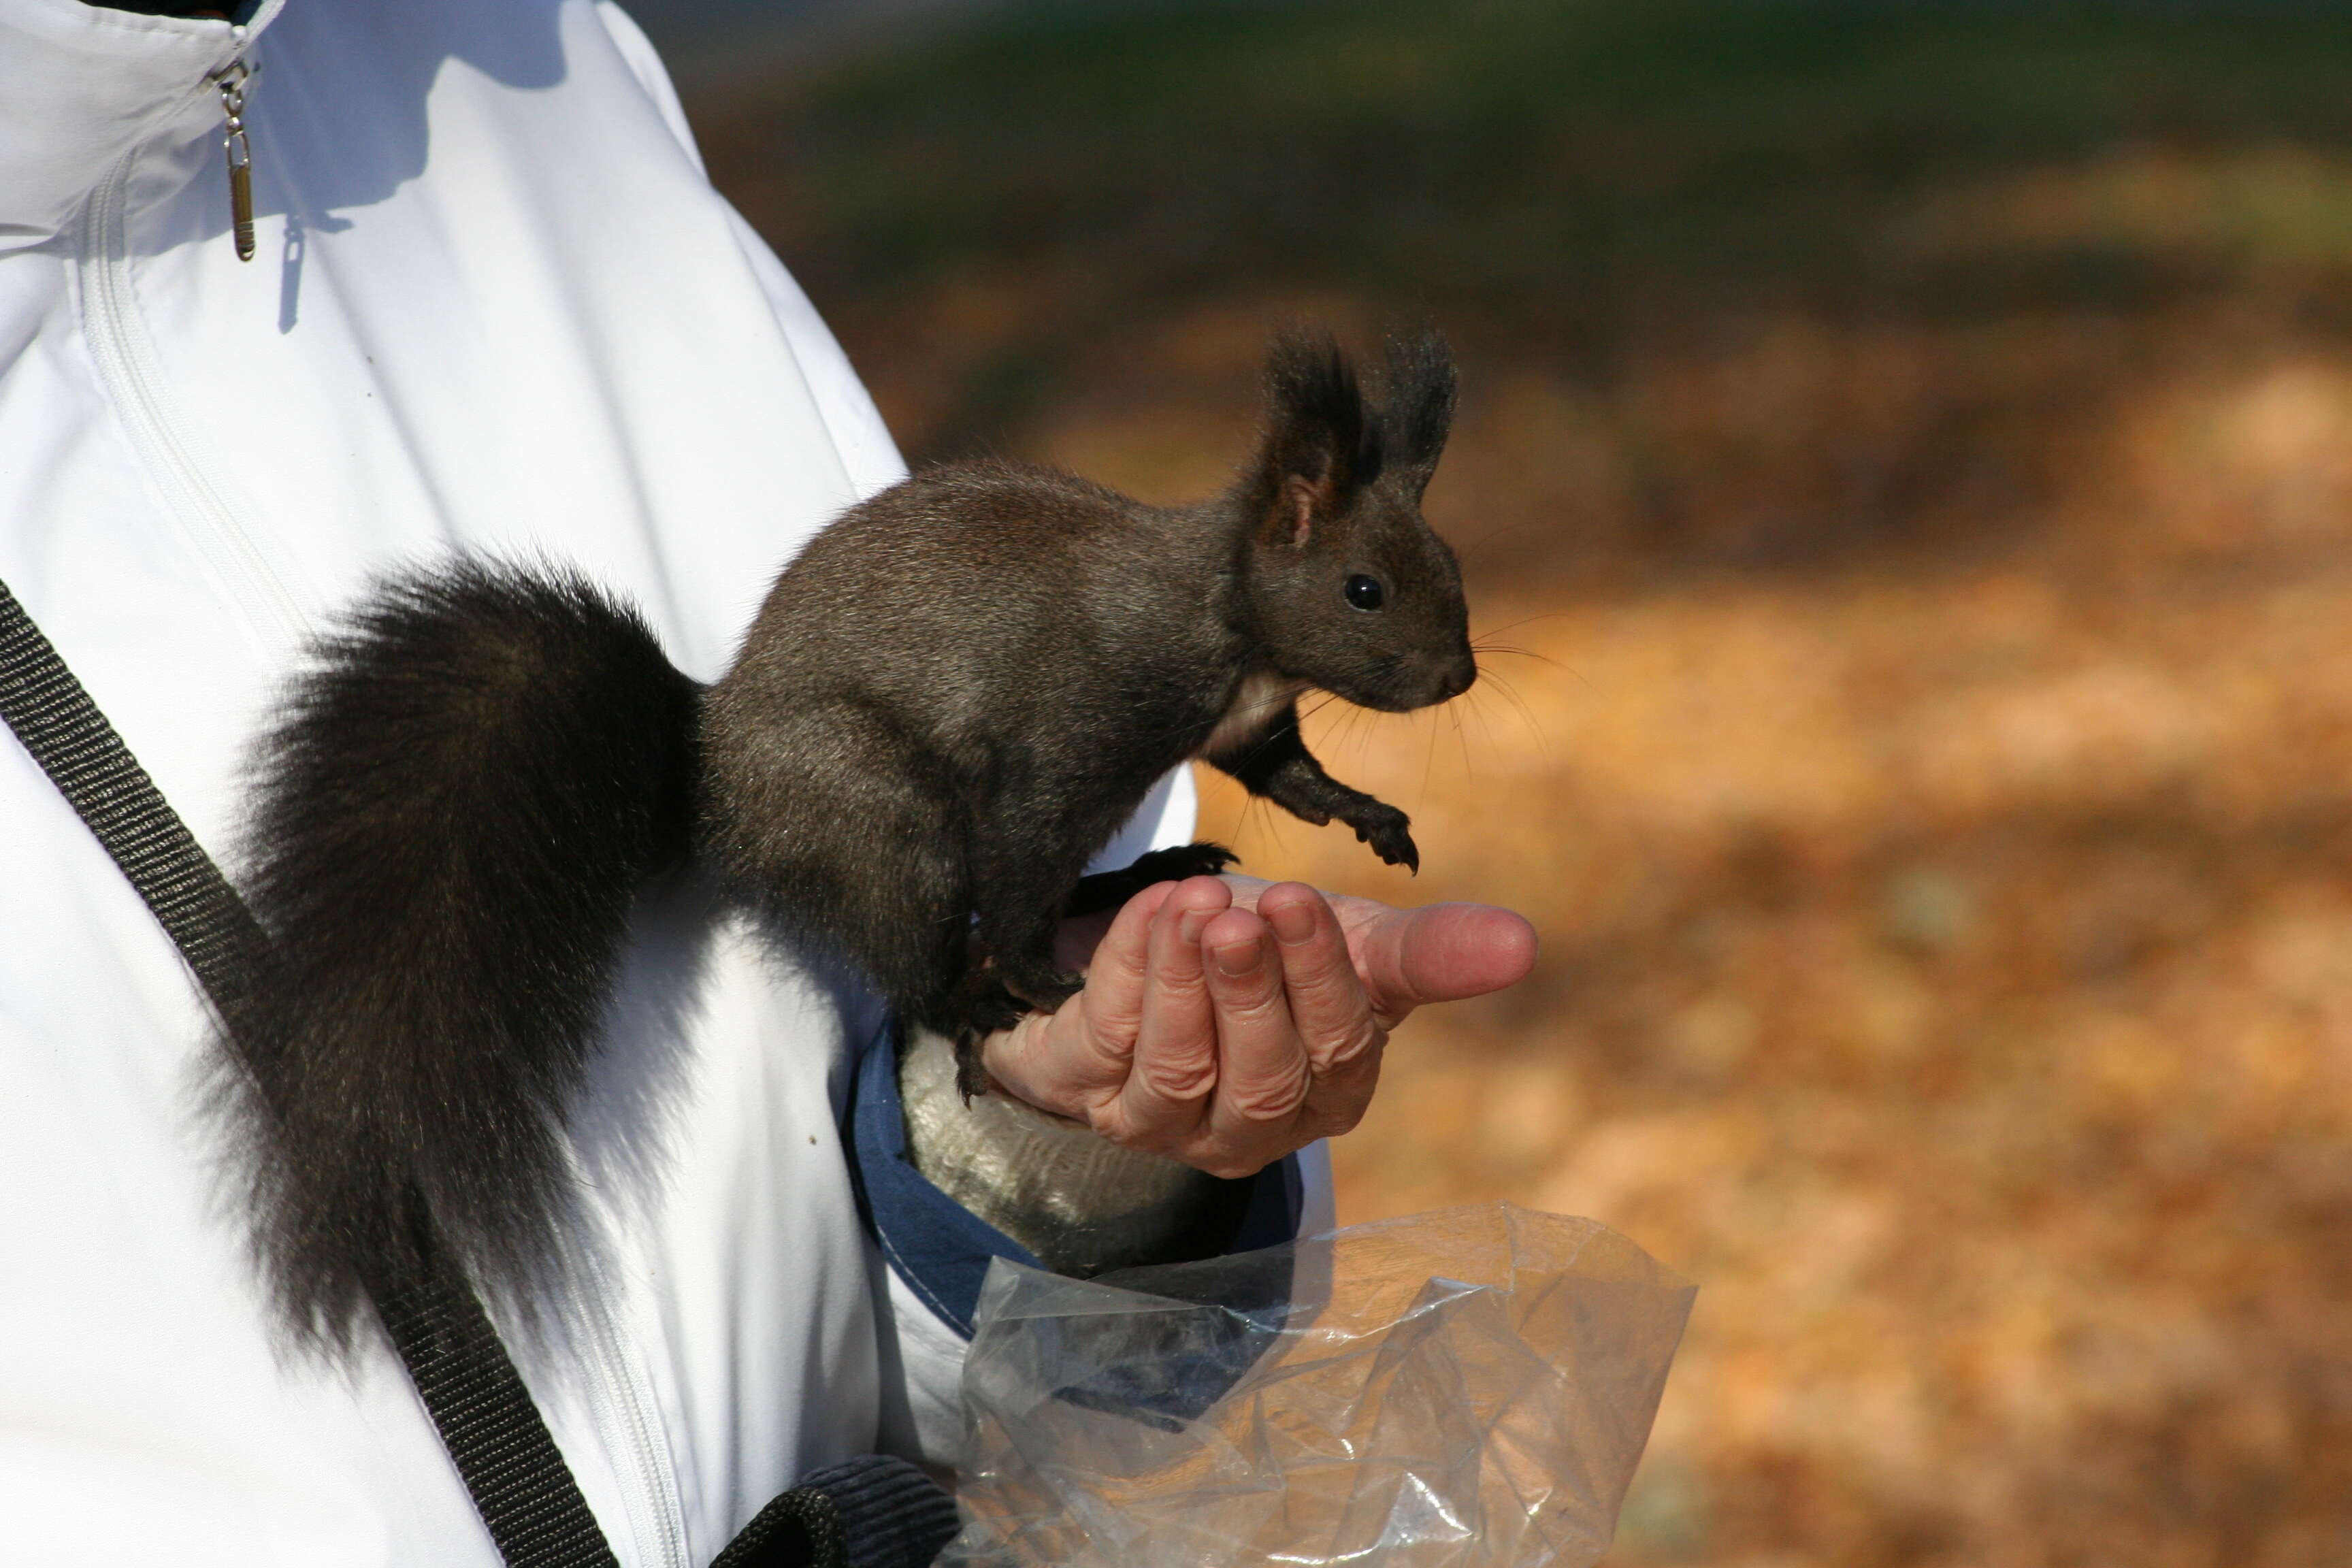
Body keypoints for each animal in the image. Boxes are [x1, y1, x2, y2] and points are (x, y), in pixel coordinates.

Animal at [220, 329, 1467, 1354]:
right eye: (1363, 588)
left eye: (1449, 568)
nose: (1458, 675)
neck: (1233, 625)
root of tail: (714, 780)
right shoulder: (1071, 730)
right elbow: (1026, 852)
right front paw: (1030, 974)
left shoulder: (1247, 725)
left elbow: (1290, 778)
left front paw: (1372, 814)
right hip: (880, 817)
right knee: (923, 950)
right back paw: (981, 996)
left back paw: (1137, 876)